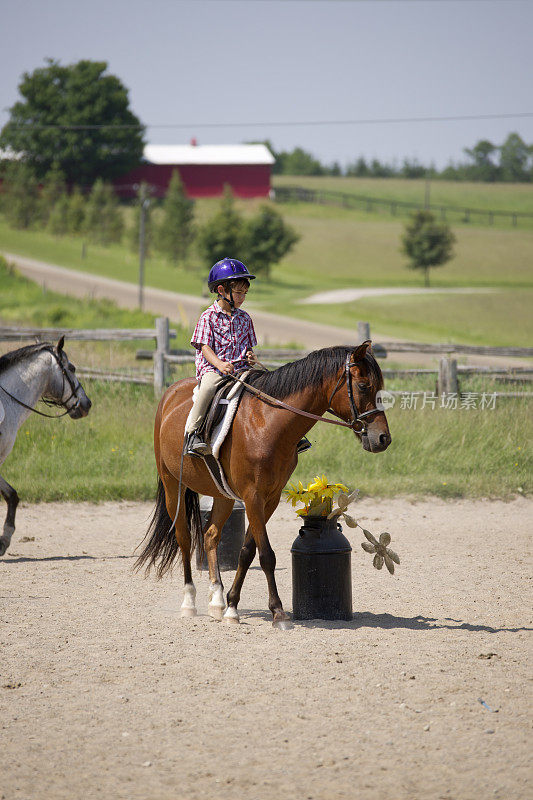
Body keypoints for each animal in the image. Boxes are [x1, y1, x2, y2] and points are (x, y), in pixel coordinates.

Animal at [135, 340, 388, 628]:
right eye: (364, 385)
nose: (383, 438)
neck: (267, 422)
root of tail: (170, 393)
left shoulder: (270, 498)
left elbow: (247, 550)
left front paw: (232, 606)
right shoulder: (252, 496)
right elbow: (266, 555)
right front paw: (278, 612)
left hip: (223, 494)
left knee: (210, 536)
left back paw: (217, 600)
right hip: (172, 486)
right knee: (185, 538)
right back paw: (189, 602)